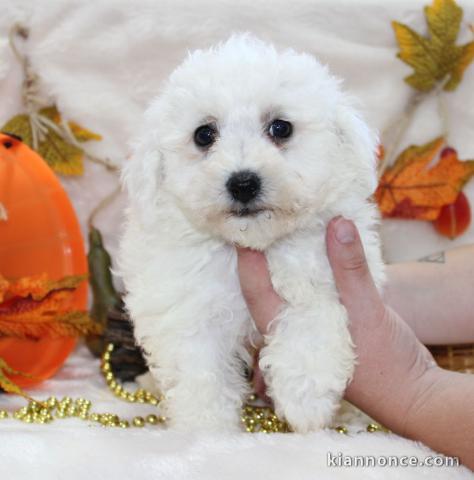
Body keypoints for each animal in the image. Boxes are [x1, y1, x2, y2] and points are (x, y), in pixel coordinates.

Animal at [119, 33, 386, 432]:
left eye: (281, 128)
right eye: (204, 135)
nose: (243, 183)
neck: (252, 243)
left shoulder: (328, 271)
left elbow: (311, 317)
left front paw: (306, 397)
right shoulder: (187, 305)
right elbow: (199, 367)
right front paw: (207, 429)